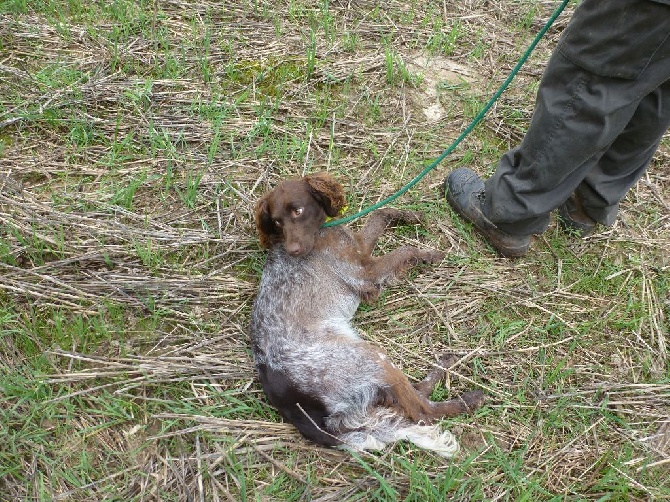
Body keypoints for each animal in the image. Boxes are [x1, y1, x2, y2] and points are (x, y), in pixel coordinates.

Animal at [249, 174, 486, 458]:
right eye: (276, 221)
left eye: (298, 210)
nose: (293, 250)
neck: (322, 231)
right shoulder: (365, 274)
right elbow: (405, 250)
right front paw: (430, 253)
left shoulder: (359, 248)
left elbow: (381, 214)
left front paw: (410, 215)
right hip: (370, 358)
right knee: (422, 412)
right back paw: (468, 400)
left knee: (412, 395)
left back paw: (445, 363)